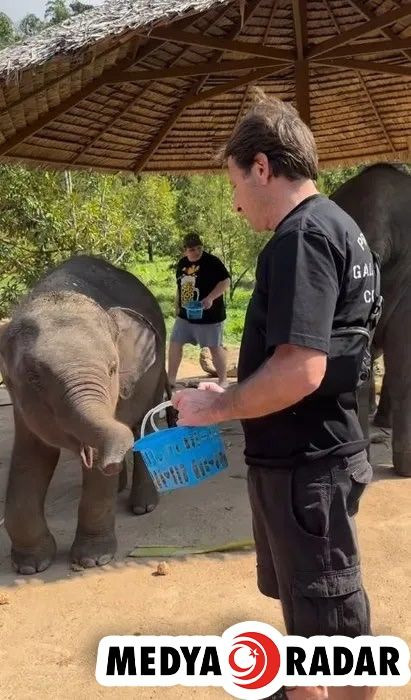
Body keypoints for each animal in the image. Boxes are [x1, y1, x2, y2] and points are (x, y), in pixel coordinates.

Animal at [0, 254, 174, 572]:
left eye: (112, 369)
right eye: (33, 377)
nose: (108, 462)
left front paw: (94, 560)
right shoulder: (19, 401)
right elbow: (31, 457)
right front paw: (31, 566)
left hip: (155, 370)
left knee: (144, 421)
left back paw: (142, 506)